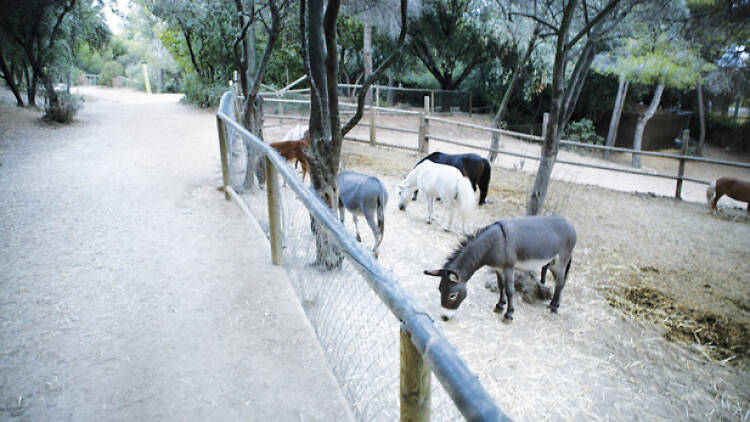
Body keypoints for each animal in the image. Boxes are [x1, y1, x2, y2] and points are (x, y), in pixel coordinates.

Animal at [426, 216, 580, 322]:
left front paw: (509, 314)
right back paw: (553, 304)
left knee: (560, 283)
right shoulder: (498, 269)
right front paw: (499, 306)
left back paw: (554, 307)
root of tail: (571, 225)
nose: (444, 317)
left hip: (559, 263)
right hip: (552, 263)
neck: (495, 244)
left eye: (452, 295)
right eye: (439, 290)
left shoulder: (509, 268)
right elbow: (501, 287)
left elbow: (510, 290)